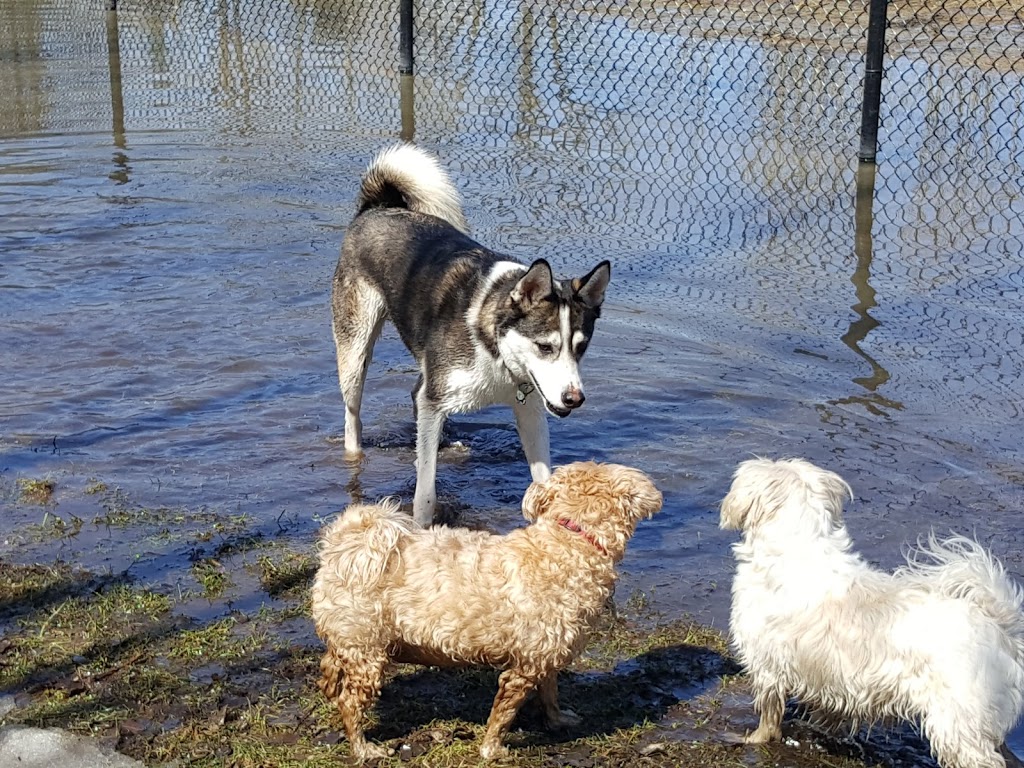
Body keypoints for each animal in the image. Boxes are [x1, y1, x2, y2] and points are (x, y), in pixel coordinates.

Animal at [331, 144, 610, 528]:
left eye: (581, 348)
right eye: (545, 346)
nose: (574, 398)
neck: (493, 348)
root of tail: (379, 207)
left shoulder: (530, 409)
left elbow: (543, 481)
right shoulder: (436, 398)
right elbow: (425, 493)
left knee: (415, 396)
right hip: (355, 355)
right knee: (353, 415)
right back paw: (354, 452)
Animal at [720, 456, 1024, 768]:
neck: (799, 550)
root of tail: (1000, 628)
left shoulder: (767, 665)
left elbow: (769, 715)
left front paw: (753, 739)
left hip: (958, 723)